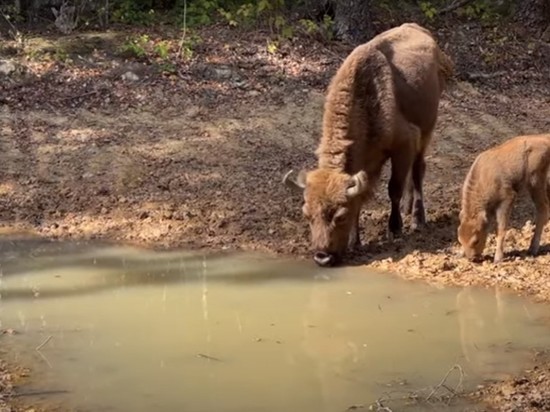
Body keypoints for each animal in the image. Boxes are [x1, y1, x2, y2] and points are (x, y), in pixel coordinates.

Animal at [282, 22, 454, 268]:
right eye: (307, 214)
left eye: (340, 216)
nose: (322, 257)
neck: (366, 104)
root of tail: (419, 29)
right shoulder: (368, 163)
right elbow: (362, 196)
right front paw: (356, 241)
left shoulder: (404, 143)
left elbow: (394, 188)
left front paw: (394, 229)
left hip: (427, 130)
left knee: (418, 171)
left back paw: (417, 220)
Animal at [460, 135, 550, 264]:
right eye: (460, 240)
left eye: (476, 240)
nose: (472, 258)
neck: (484, 178)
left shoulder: (507, 199)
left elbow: (501, 228)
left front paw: (498, 258)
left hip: (535, 183)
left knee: (543, 210)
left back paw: (532, 249)